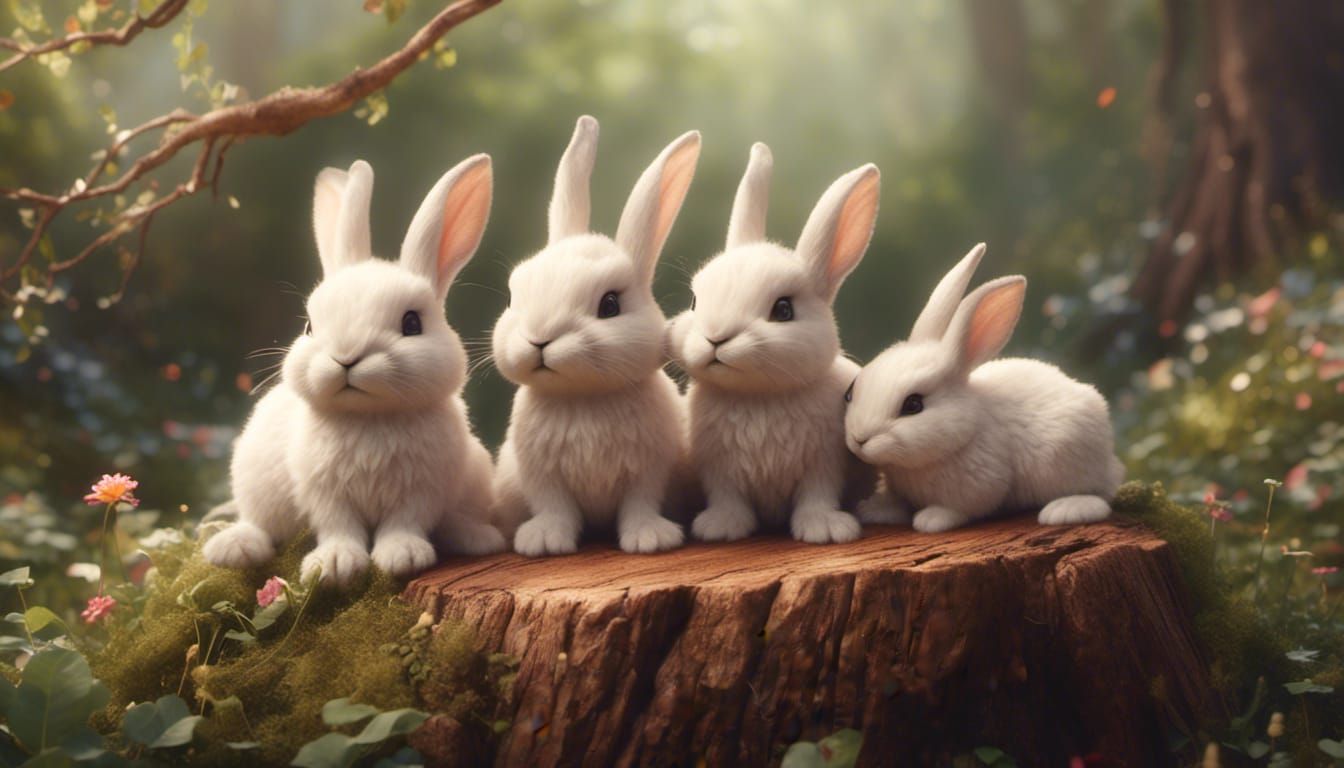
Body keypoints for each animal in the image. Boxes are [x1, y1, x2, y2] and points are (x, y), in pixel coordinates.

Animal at [202, 155, 506, 586]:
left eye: (412, 323)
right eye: (310, 327)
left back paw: (475, 536)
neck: (369, 419)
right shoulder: (324, 493)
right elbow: (338, 526)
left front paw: (402, 556)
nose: (345, 358)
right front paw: (334, 565)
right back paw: (233, 547)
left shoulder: (421, 490)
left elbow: (405, 523)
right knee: (259, 523)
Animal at [491, 115, 700, 556]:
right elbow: (554, 507)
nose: (539, 340)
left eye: (610, 305)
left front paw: (650, 539)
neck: (584, 398)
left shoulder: (648, 469)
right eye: (514, 294)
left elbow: (640, 503)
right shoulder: (541, 473)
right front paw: (545, 541)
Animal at [667, 143, 879, 544]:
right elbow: (727, 497)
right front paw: (720, 527)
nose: (716, 336)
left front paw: (824, 529)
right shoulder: (717, 467)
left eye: (783, 310)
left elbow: (816, 495)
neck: (759, 398)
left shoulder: (823, 464)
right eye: (695, 302)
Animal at [843, 243, 1125, 533]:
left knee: (1100, 494)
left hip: (1067, 458)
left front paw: (931, 519)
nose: (859, 439)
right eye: (851, 391)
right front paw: (874, 509)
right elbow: (895, 500)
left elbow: (963, 507)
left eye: (913, 404)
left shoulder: (983, 483)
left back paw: (1066, 509)